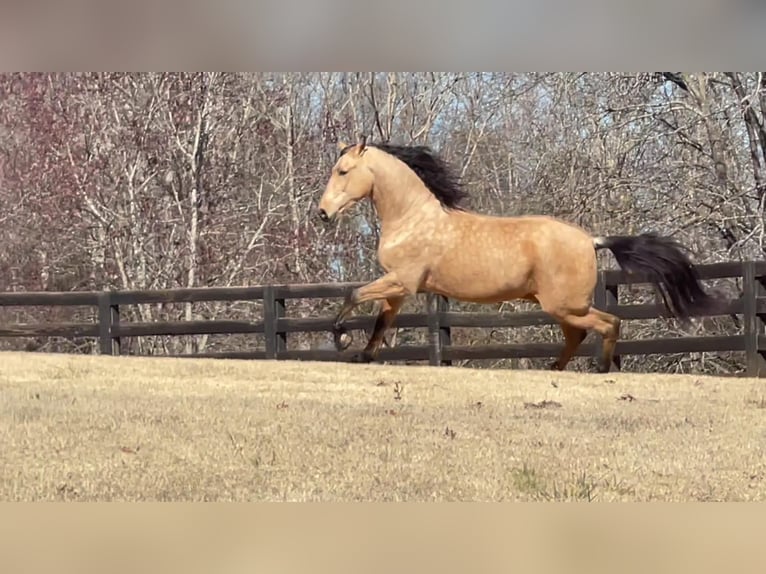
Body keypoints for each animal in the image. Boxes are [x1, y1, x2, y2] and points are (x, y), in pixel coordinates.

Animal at [316, 139, 728, 374]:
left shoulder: (402, 281)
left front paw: (340, 339)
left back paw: (599, 370)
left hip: (565, 305)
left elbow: (352, 294)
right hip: (559, 307)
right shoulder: (399, 289)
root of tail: (591, 239)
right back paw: (555, 368)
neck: (413, 217)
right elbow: (380, 323)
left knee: (608, 323)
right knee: (579, 334)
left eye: (343, 171)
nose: (322, 213)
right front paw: (363, 356)